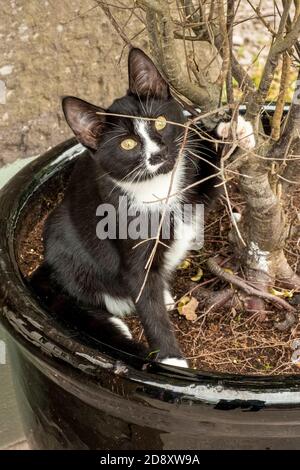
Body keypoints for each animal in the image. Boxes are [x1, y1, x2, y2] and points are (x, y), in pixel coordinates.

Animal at [33, 47, 255, 366]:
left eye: (160, 122)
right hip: (61, 235)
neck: (157, 188)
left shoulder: (189, 187)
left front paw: (234, 131)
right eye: (127, 144)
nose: (158, 153)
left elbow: (211, 181)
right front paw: (171, 359)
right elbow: (144, 292)